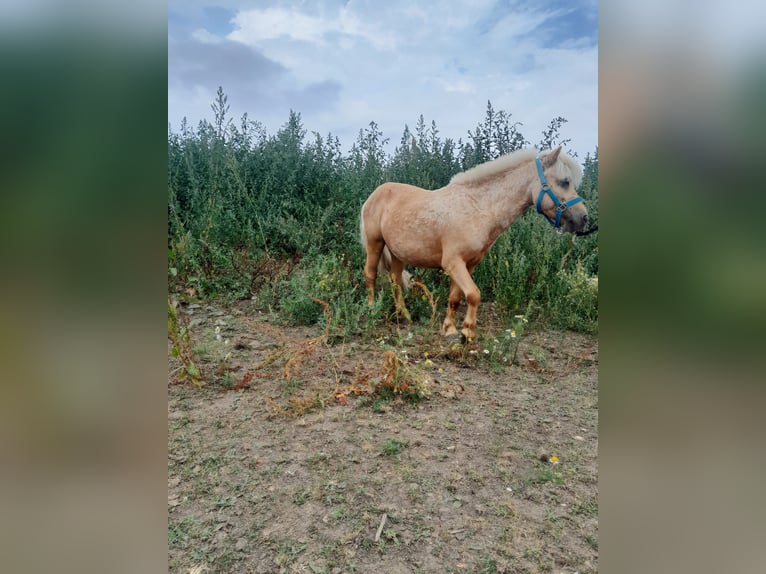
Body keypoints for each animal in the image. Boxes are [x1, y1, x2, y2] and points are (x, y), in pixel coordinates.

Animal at [364, 146, 592, 342]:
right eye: (565, 181)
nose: (583, 219)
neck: (477, 208)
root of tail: (377, 192)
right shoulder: (453, 263)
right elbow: (474, 295)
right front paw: (467, 333)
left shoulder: (469, 264)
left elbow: (456, 298)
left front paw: (450, 330)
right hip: (374, 243)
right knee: (370, 274)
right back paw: (371, 310)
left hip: (397, 252)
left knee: (395, 280)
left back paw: (403, 316)